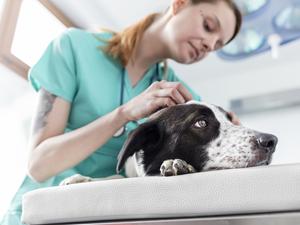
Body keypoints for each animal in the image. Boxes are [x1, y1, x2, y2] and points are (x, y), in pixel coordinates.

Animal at [59, 101, 278, 185]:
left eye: (230, 119)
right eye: (201, 122)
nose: (271, 141)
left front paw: (177, 164)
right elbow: (115, 176)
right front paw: (82, 179)